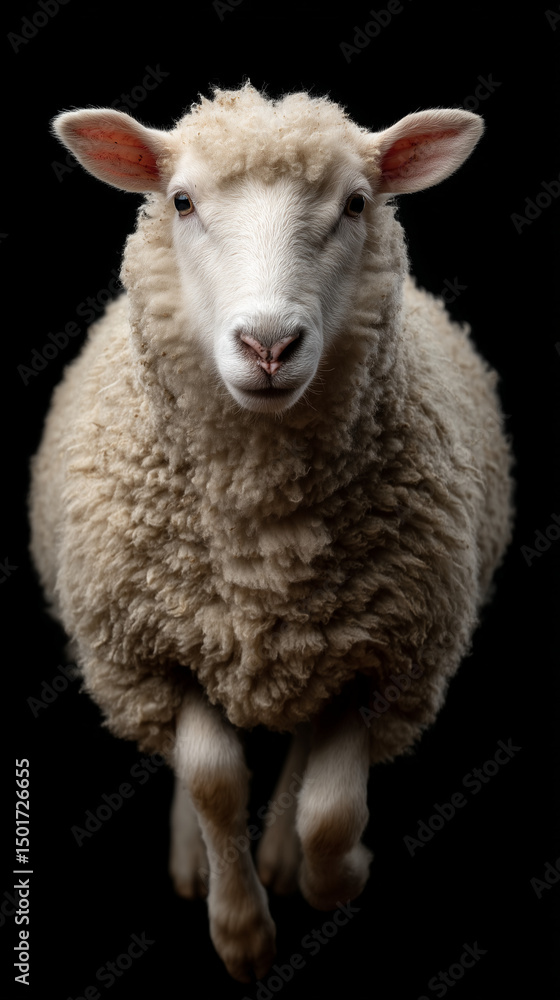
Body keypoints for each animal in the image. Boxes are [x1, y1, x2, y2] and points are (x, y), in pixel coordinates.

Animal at [29, 82, 514, 982]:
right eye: (182, 201)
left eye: (356, 203)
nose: (268, 344)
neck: (265, 545)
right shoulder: (151, 650)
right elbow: (214, 778)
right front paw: (241, 931)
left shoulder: (385, 657)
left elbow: (330, 808)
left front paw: (335, 873)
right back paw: (196, 861)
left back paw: (286, 856)